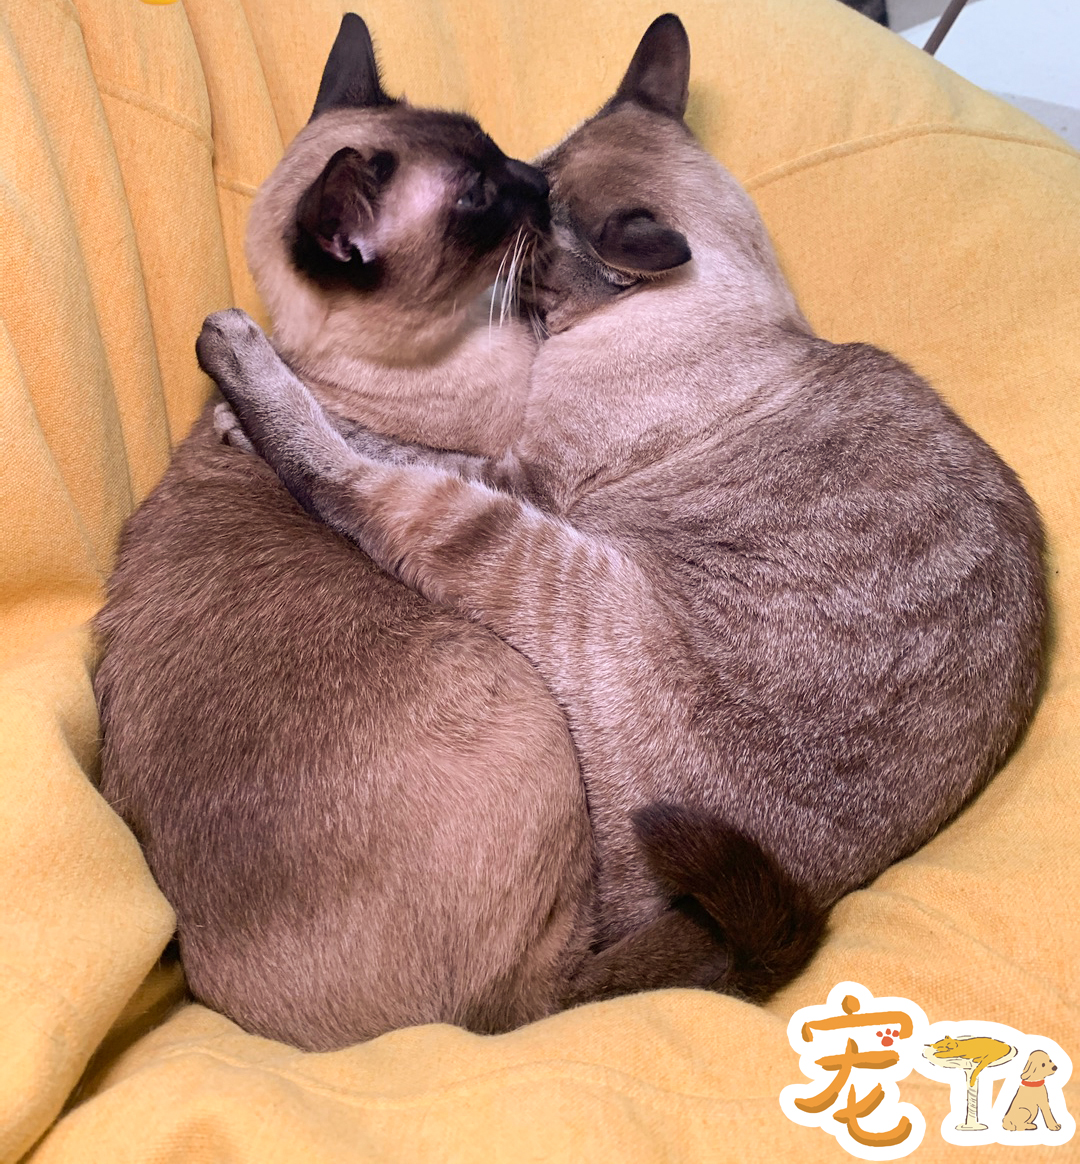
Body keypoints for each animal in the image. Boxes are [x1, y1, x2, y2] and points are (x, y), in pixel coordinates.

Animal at [200, 13, 1047, 1003]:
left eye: (536, 244)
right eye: (513, 186)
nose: (530, 196)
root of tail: (819, 879)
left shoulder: (524, 477)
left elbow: (387, 440)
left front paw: (241, 413)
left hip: (521, 547)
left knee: (346, 479)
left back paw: (234, 361)